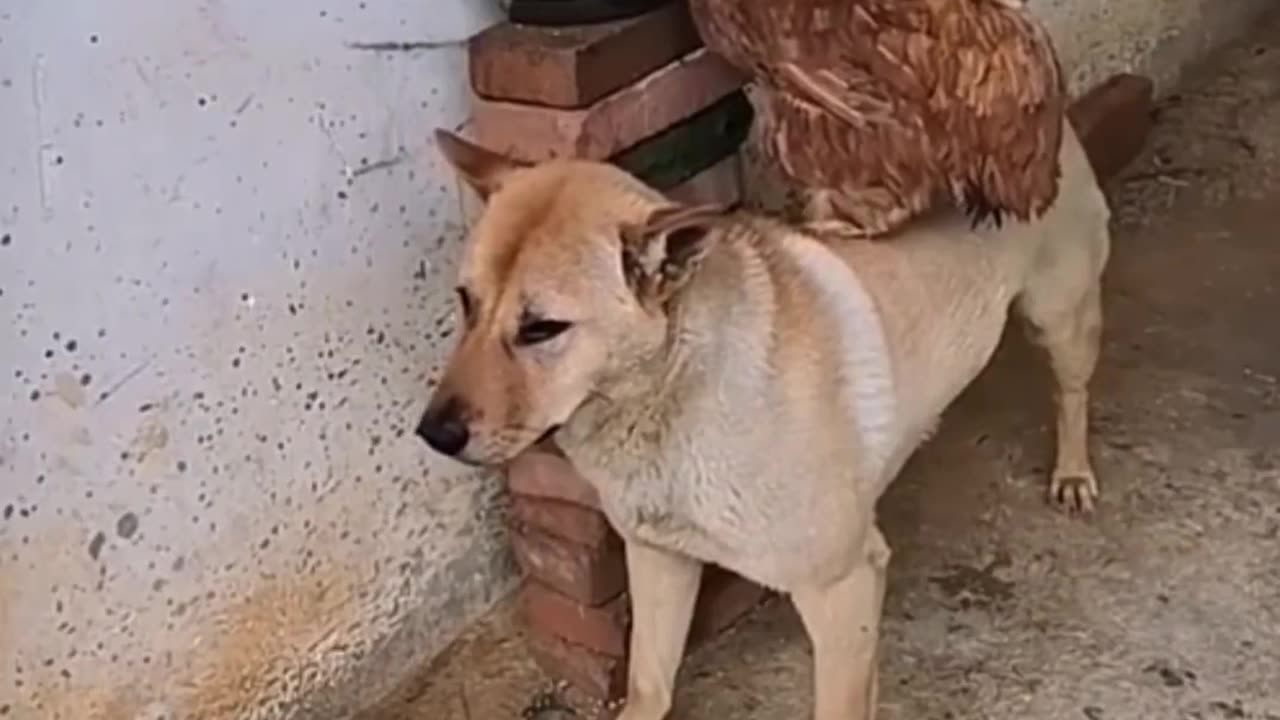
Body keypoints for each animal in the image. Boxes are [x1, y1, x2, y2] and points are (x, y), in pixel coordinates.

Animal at [419, 124, 1111, 717]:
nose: (432, 435)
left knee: (1072, 392)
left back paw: (1073, 472)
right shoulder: (658, 559)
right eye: (465, 302)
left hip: (1060, 319)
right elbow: (647, 683)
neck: (672, 394)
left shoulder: (844, 588)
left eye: (542, 329)